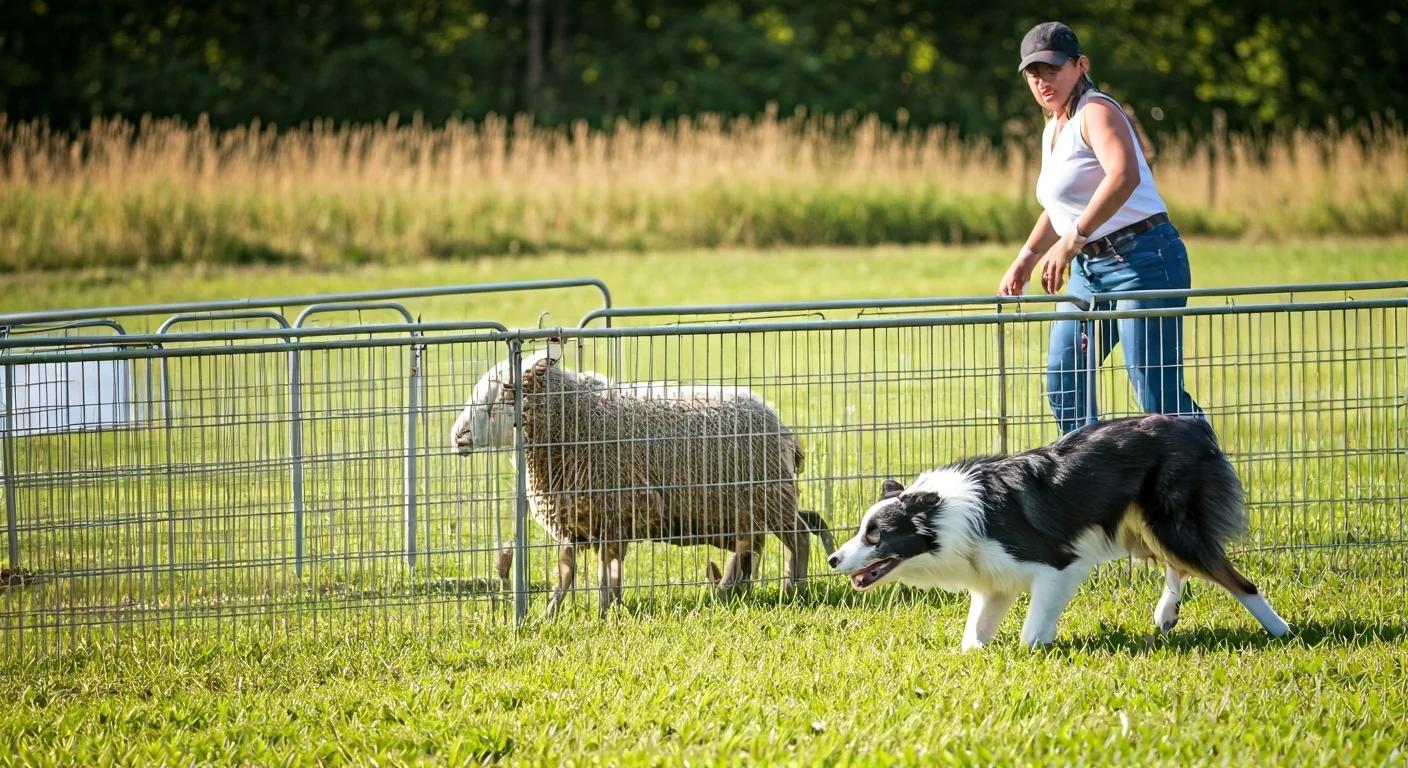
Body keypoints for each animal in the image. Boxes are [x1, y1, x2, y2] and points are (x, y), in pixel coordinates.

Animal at [450, 345, 835, 616]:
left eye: (502, 394)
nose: (458, 436)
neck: (575, 419)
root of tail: (781, 426)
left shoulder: (614, 511)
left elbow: (602, 573)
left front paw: (605, 611)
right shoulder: (581, 520)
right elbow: (569, 574)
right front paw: (554, 614)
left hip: (769, 497)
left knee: (799, 536)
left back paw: (796, 589)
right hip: (752, 505)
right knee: (769, 541)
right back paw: (745, 589)